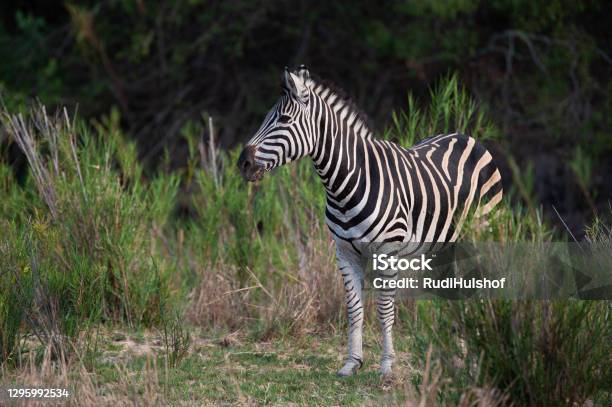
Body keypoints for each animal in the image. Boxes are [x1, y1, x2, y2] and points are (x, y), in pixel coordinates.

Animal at [238, 66, 502, 376]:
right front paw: (352, 362)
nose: (243, 163)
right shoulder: (345, 253)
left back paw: (476, 347)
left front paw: (387, 365)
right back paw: (459, 350)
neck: (345, 183)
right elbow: (354, 308)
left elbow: (385, 309)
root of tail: (466, 136)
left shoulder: (387, 252)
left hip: (482, 231)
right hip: (445, 245)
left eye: (284, 120)